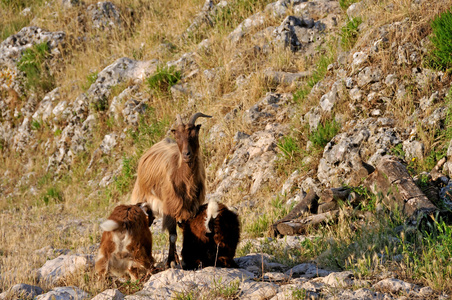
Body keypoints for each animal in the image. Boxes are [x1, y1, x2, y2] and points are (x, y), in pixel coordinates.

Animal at [131, 111, 212, 266]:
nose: (187, 154)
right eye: (178, 136)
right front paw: (171, 261)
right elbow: (173, 235)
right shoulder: (170, 205)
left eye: (194, 134)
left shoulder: (191, 207)